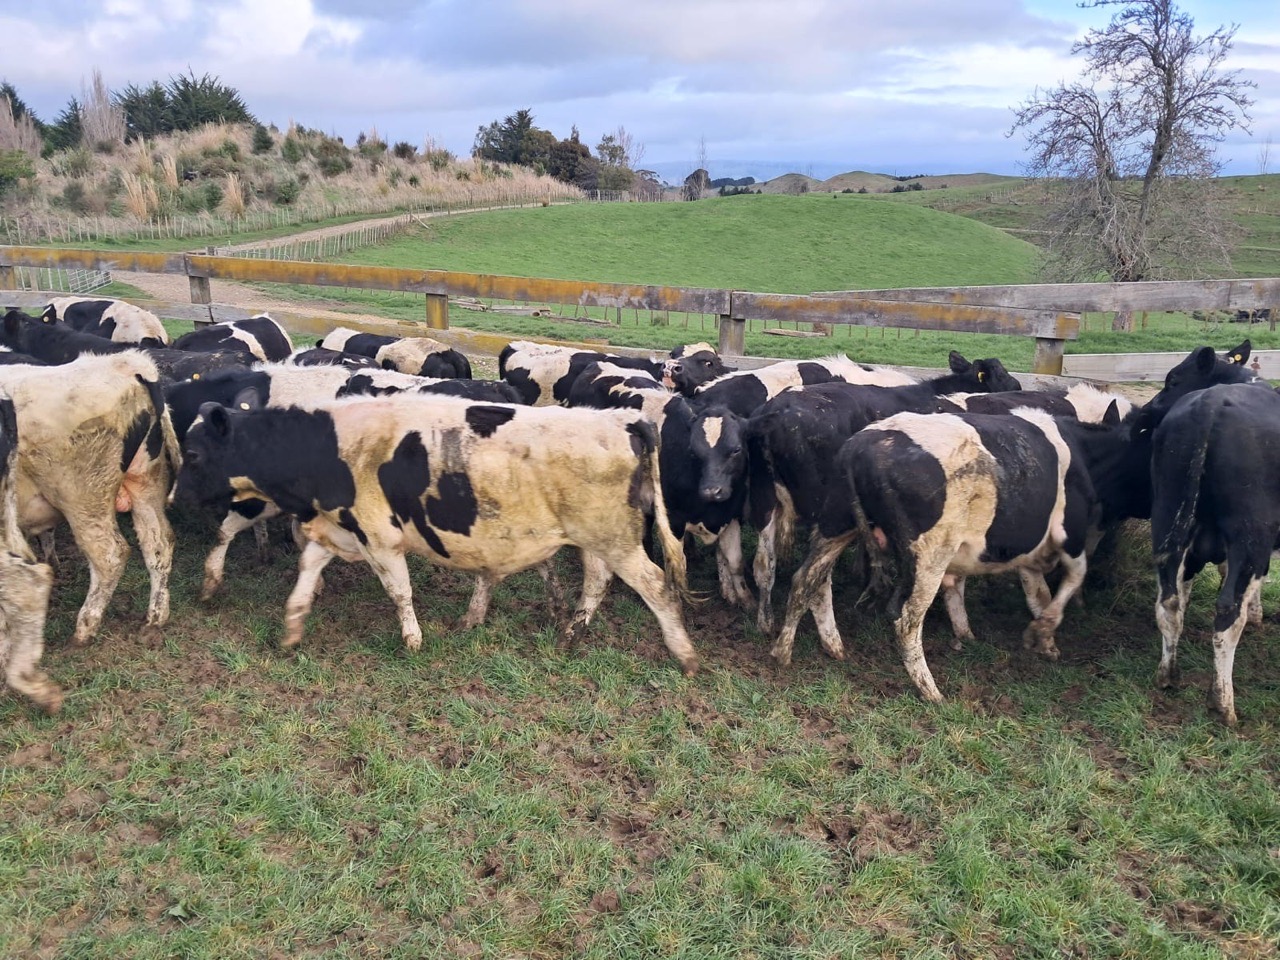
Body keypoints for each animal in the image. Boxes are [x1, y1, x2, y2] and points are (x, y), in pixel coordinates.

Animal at [0, 351, 180, 646]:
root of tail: (126, 363)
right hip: (146, 483)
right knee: (159, 543)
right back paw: (155, 619)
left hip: (81, 498)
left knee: (110, 554)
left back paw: (84, 628)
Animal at [173, 395, 698, 673]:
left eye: (194, 454)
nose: (174, 497)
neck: (329, 446)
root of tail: (621, 418)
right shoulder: (338, 528)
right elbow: (306, 570)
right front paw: (293, 625)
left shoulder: (379, 537)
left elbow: (399, 591)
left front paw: (413, 640)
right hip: (595, 540)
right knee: (596, 581)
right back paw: (570, 634)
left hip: (616, 540)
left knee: (656, 586)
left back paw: (685, 654)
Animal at [747, 353, 1023, 631]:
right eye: (1000, 375)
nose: (1018, 387)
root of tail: (778, 409)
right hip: (820, 508)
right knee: (816, 577)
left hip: (764, 499)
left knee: (764, 564)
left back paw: (764, 622)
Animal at [770, 406, 1150, 702]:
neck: (1085, 454)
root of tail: (860, 446)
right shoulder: (1070, 536)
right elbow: (1072, 580)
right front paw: (1043, 631)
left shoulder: (1025, 550)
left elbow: (1030, 592)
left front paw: (1015, 638)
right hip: (928, 555)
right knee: (907, 620)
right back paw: (930, 691)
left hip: (835, 525)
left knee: (807, 580)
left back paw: (787, 651)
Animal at [1150, 384, 1280, 725]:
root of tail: (1212, 400)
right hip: (1251, 533)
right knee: (1227, 614)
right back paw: (1222, 705)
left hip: (1167, 519)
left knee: (1168, 603)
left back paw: (1167, 676)